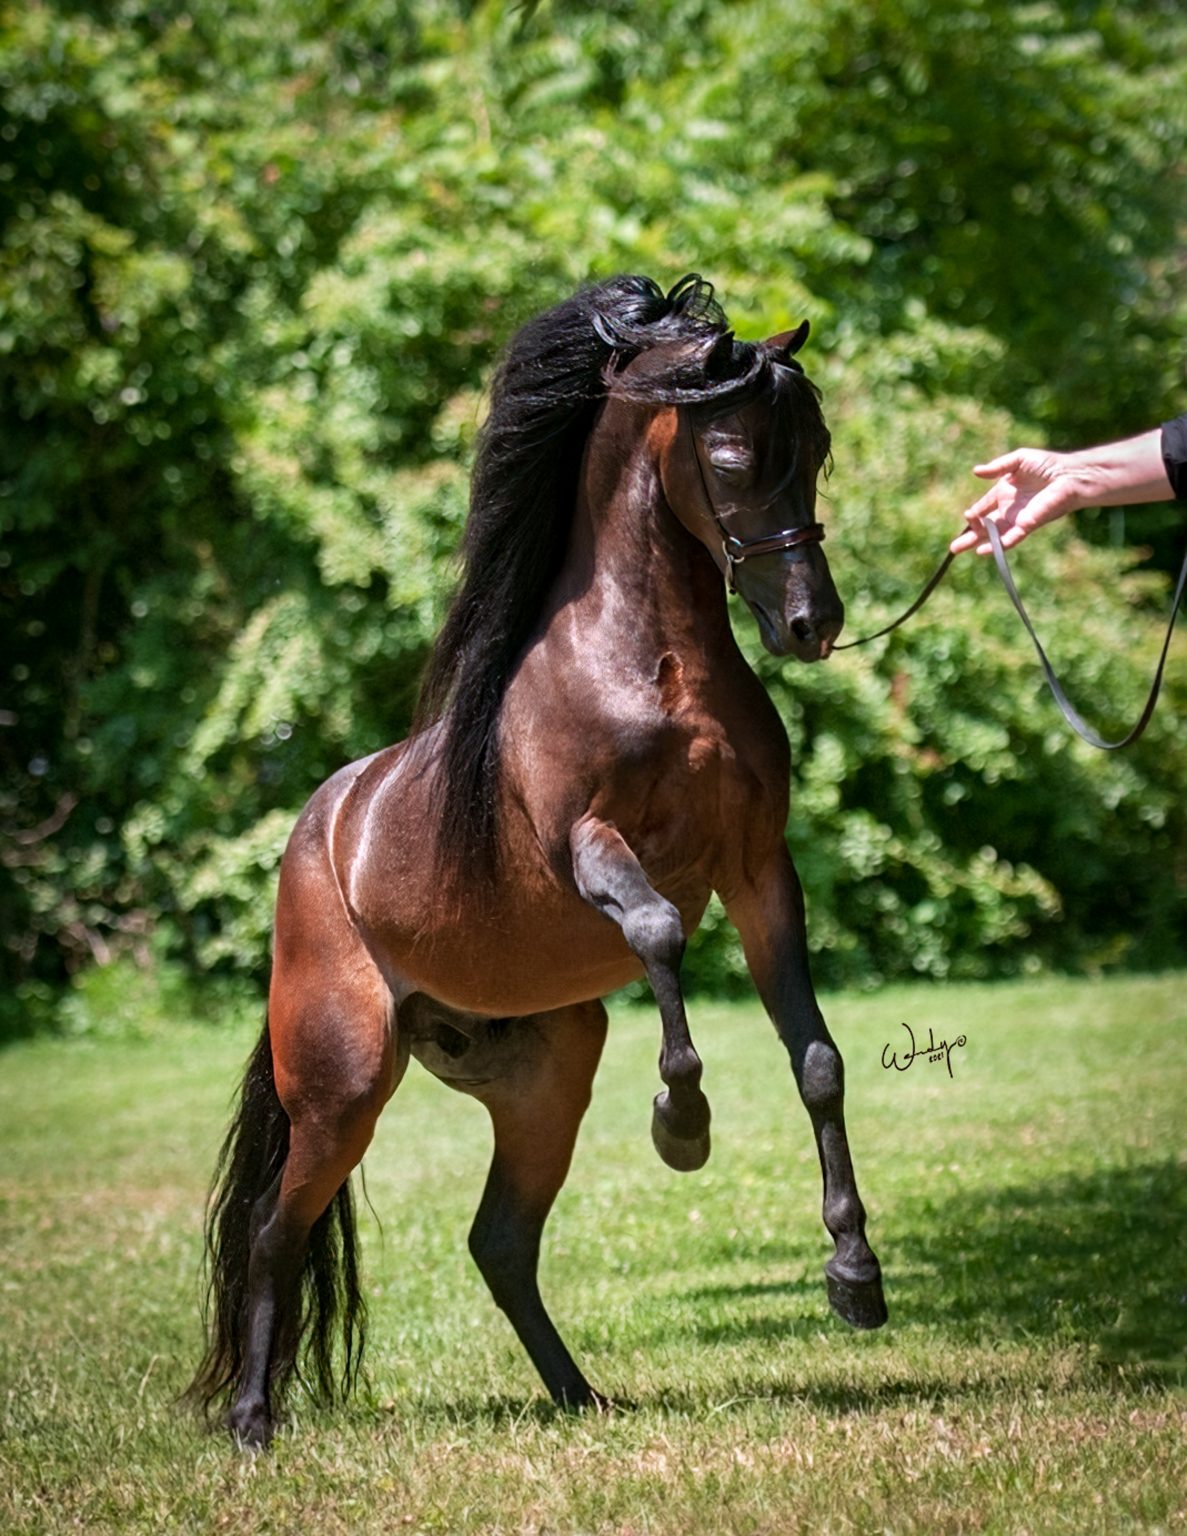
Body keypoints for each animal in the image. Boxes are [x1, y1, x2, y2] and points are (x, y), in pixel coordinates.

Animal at [190, 273, 887, 1448]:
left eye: (819, 447)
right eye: (733, 455)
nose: (810, 622)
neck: (655, 669)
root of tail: (317, 834)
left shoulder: (757, 872)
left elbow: (817, 1061)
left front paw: (854, 1277)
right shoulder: (586, 848)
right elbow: (655, 929)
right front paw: (681, 1127)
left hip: (543, 1083)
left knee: (498, 1242)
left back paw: (577, 1394)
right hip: (342, 1087)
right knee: (278, 1231)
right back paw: (251, 1421)